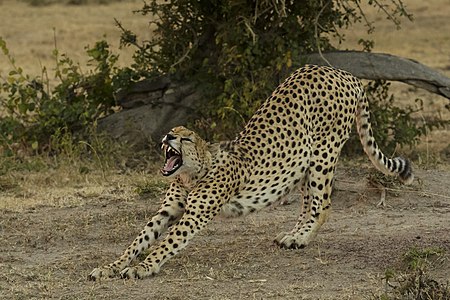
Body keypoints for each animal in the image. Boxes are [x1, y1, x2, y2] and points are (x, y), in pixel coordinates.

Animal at [89, 64, 414, 280]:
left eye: (186, 138)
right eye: (173, 131)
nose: (167, 137)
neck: (192, 173)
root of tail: (340, 72)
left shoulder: (194, 215)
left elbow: (166, 243)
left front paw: (142, 267)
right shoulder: (167, 210)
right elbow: (139, 239)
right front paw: (110, 267)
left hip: (324, 151)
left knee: (322, 204)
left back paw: (301, 238)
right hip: (304, 162)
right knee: (308, 201)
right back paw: (294, 236)